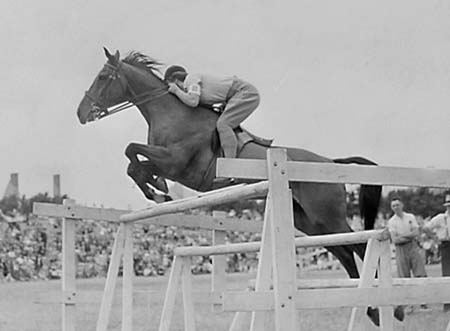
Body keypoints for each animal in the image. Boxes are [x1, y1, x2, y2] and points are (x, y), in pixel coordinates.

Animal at [75, 49, 402, 326]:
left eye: (103, 77)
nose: (81, 113)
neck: (172, 112)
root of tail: (330, 162)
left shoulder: (174, 162)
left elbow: (132, 151)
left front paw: (157, 188)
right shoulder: (165, 162)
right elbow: (134, 165)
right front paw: (157, 190)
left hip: (328, 217)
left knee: (361, 244)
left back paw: (393, 308)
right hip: (309, 223)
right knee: (345, 252)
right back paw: (371, 310)